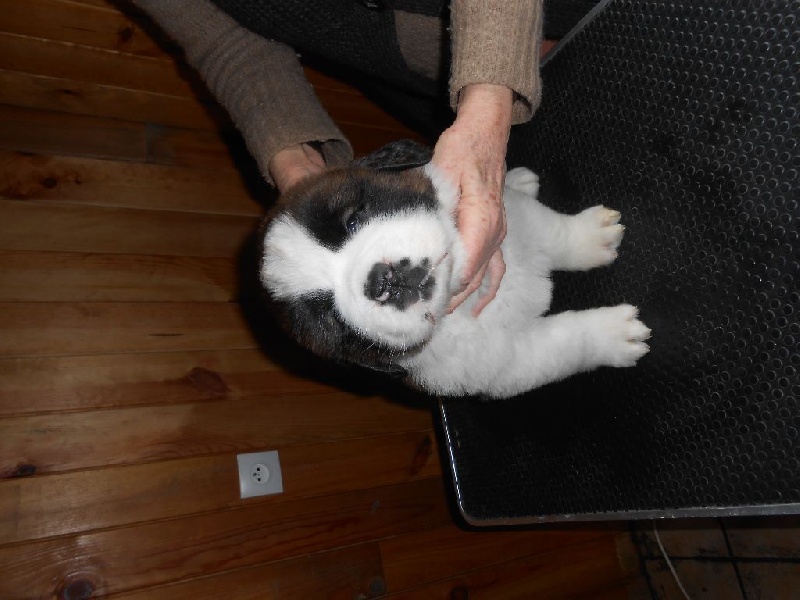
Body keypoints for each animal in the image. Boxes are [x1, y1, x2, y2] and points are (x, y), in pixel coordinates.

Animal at [259, 140, 650, 399]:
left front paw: (591, 238)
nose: (382, 281)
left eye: (353, 220)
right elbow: (567, 342)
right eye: (332, 318)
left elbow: (555, 233)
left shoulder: (514, 225)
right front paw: (614, 335)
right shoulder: (507, 362)